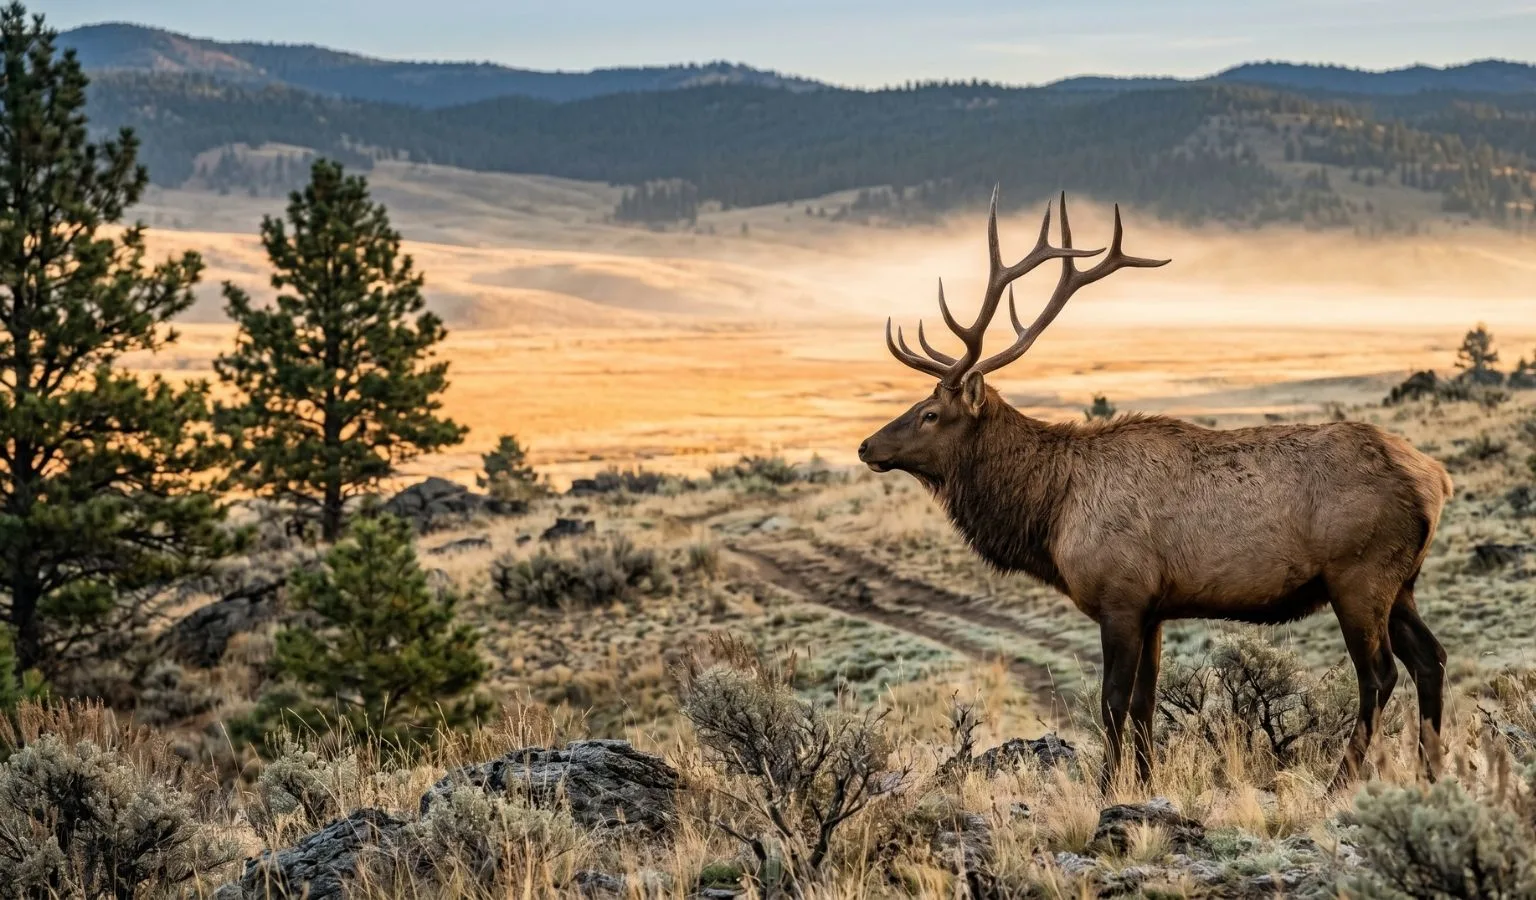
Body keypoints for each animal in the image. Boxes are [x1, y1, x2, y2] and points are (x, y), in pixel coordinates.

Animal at [857, 188, 1452, 792]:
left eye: (930, 414)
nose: (865, 446)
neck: (1051, 512)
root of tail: (1436, 479)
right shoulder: (1155, 607)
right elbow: (1146, 700)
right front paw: (1145, 782)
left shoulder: (1121, 595)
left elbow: (1113, 699)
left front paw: (1106, 786)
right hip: (1402, 580)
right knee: (1431, 658)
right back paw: (1431, 773)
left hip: (1358, 573)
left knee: (1379, 673)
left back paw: (1341, 782)